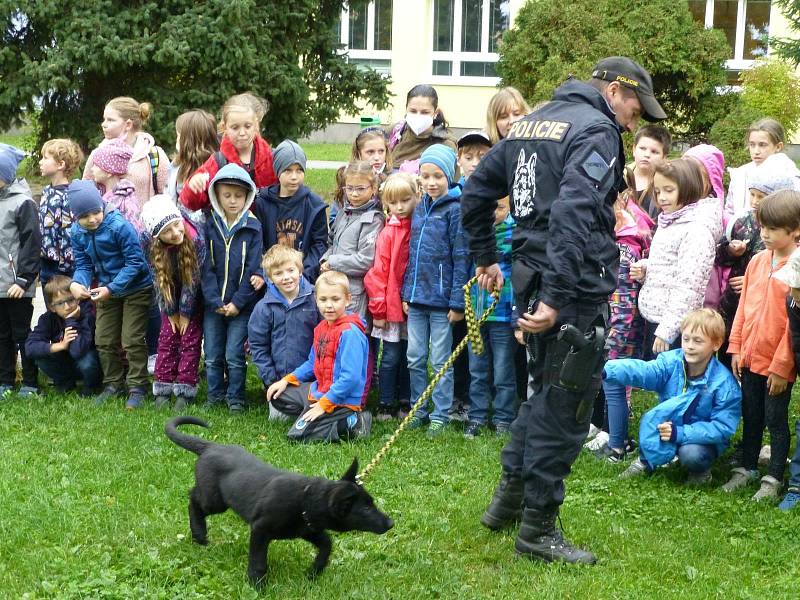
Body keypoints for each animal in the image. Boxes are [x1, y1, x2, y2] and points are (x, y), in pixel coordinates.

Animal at [165, 418, 394, 584]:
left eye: (372, 502)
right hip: (214, 500)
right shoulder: (260, 529)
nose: (391, 523)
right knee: (193, 499)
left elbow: (327, 545)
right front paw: (256, 585)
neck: (305, 499)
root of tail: (211, 446)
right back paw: (199, 534)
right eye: (366, 509)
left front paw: (314, 572)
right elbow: (258, 562)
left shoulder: (308, 529)